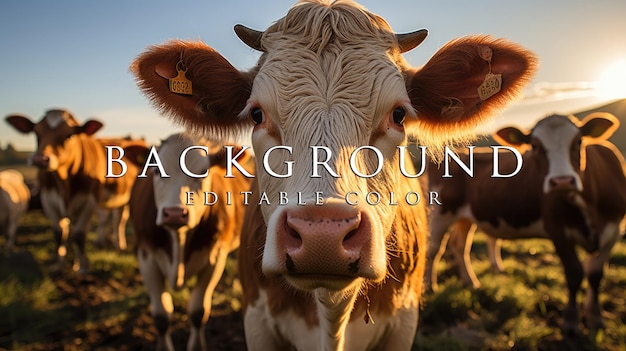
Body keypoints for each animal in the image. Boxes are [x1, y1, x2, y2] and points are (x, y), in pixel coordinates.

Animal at [127, 133, 251, 350]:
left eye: (202, 172)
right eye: (156, 170)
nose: (175, 213)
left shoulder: (215, 258)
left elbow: (198, 312)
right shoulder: (146, 256)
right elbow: (161, 317)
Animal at [426, 113, 624, 336]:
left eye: (579, 141)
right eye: (534, 146)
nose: (562, 181)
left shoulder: (613, 232)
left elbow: (595, 276)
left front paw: (595, 317)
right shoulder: (558, 232)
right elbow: (574, 273)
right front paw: (570, 322)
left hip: (465, 218)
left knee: (459, 246)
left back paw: (470, 282)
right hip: (439, 213)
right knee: (433, 249)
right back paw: (429, 287)